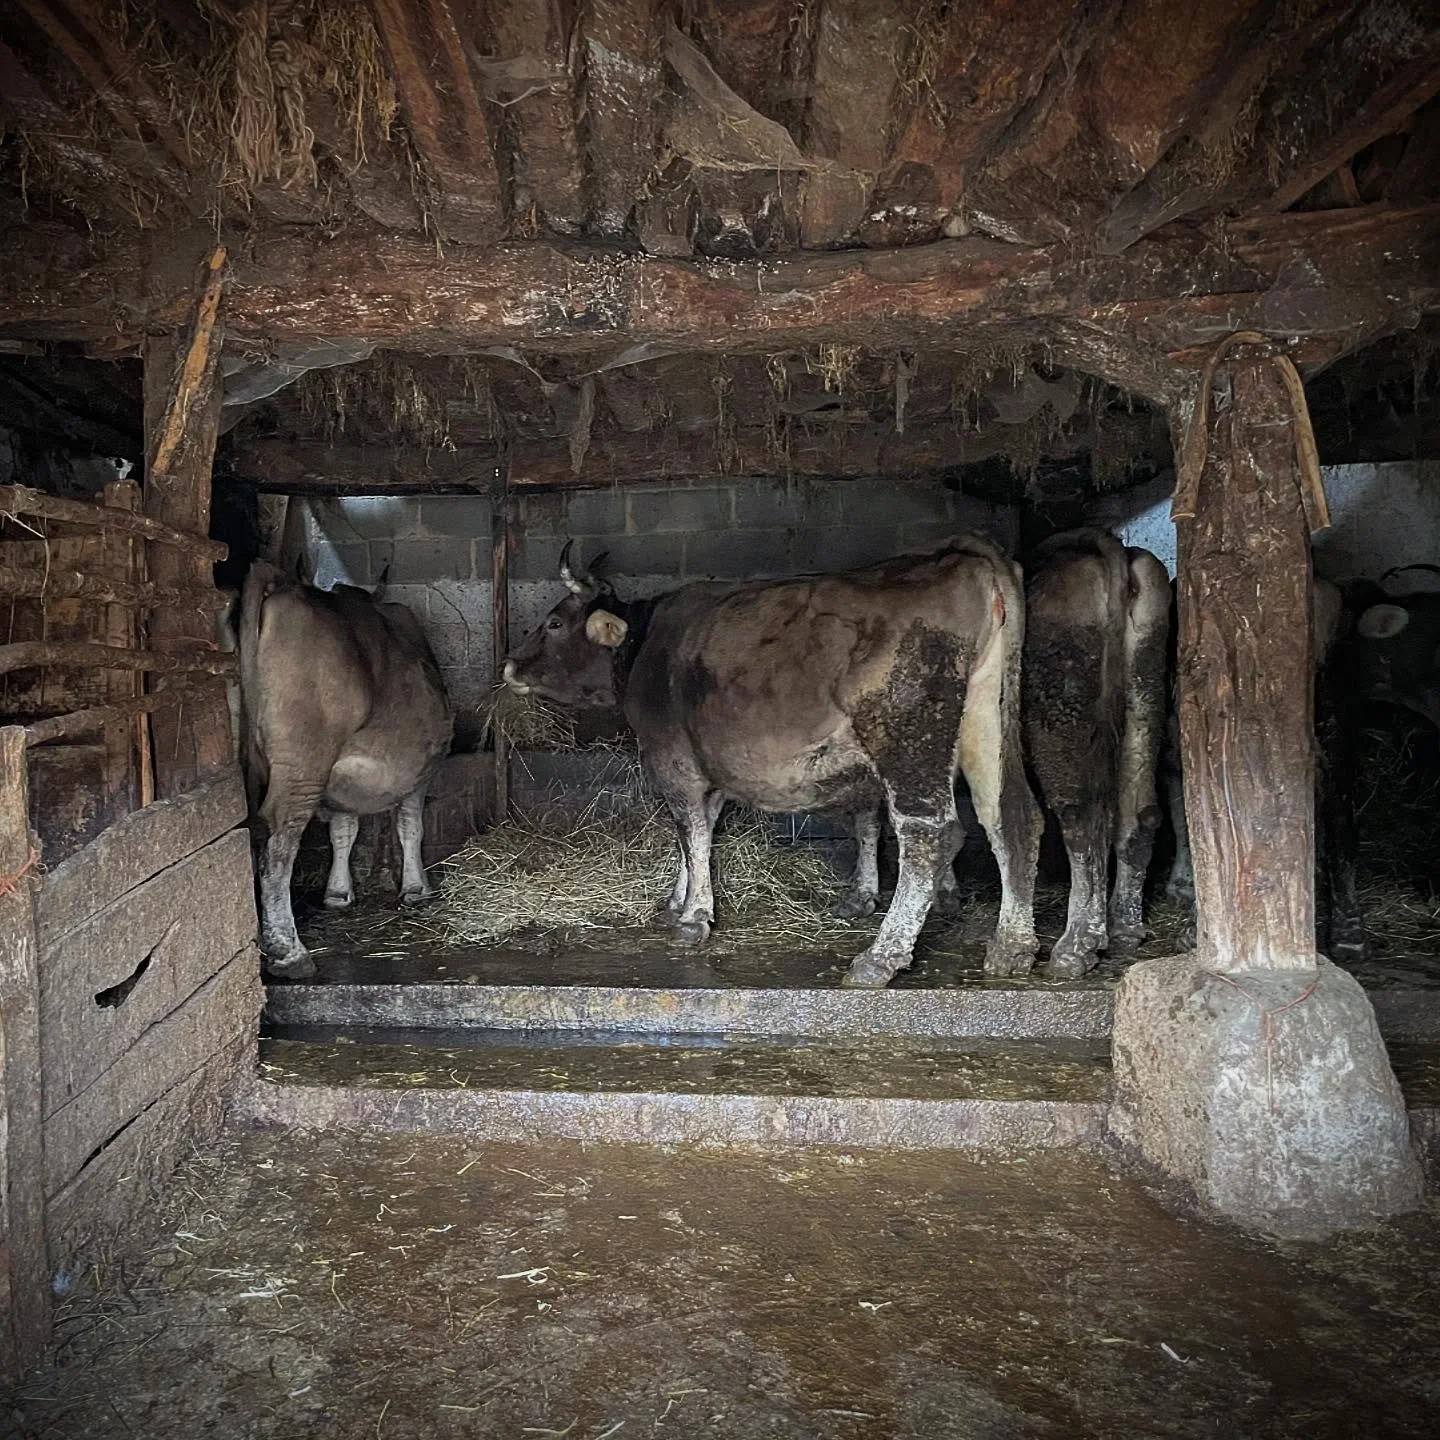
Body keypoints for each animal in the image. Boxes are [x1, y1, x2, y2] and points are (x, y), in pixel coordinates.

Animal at [230, 561, 453, 978]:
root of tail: (281, 586)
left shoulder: (341, 782)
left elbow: (343, 832)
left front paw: (337, 892)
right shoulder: (423, 769)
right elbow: (410, 827)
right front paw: (417, 888)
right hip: (303, 764)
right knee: (278, 841)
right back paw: (289, 951)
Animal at [503, 539, 1042, 988]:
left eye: (553, 623)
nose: (509, 665)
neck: (646, 647)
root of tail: (962, 557)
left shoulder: (672, 759)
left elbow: (689, 830)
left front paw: (693, 918)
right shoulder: (711, 766)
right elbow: (701, 832)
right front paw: (679, 901)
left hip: (906, 731)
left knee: (932, 834)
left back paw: (880, 957)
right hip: (985, 717)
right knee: (1011, 815)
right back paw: (1013, 946)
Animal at [1019, 529, 1170, 977]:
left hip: (1062, 718)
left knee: (1083, 818)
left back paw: (1077, 945)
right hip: (1144, 700)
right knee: (1140, 815)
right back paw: (1124, 929)